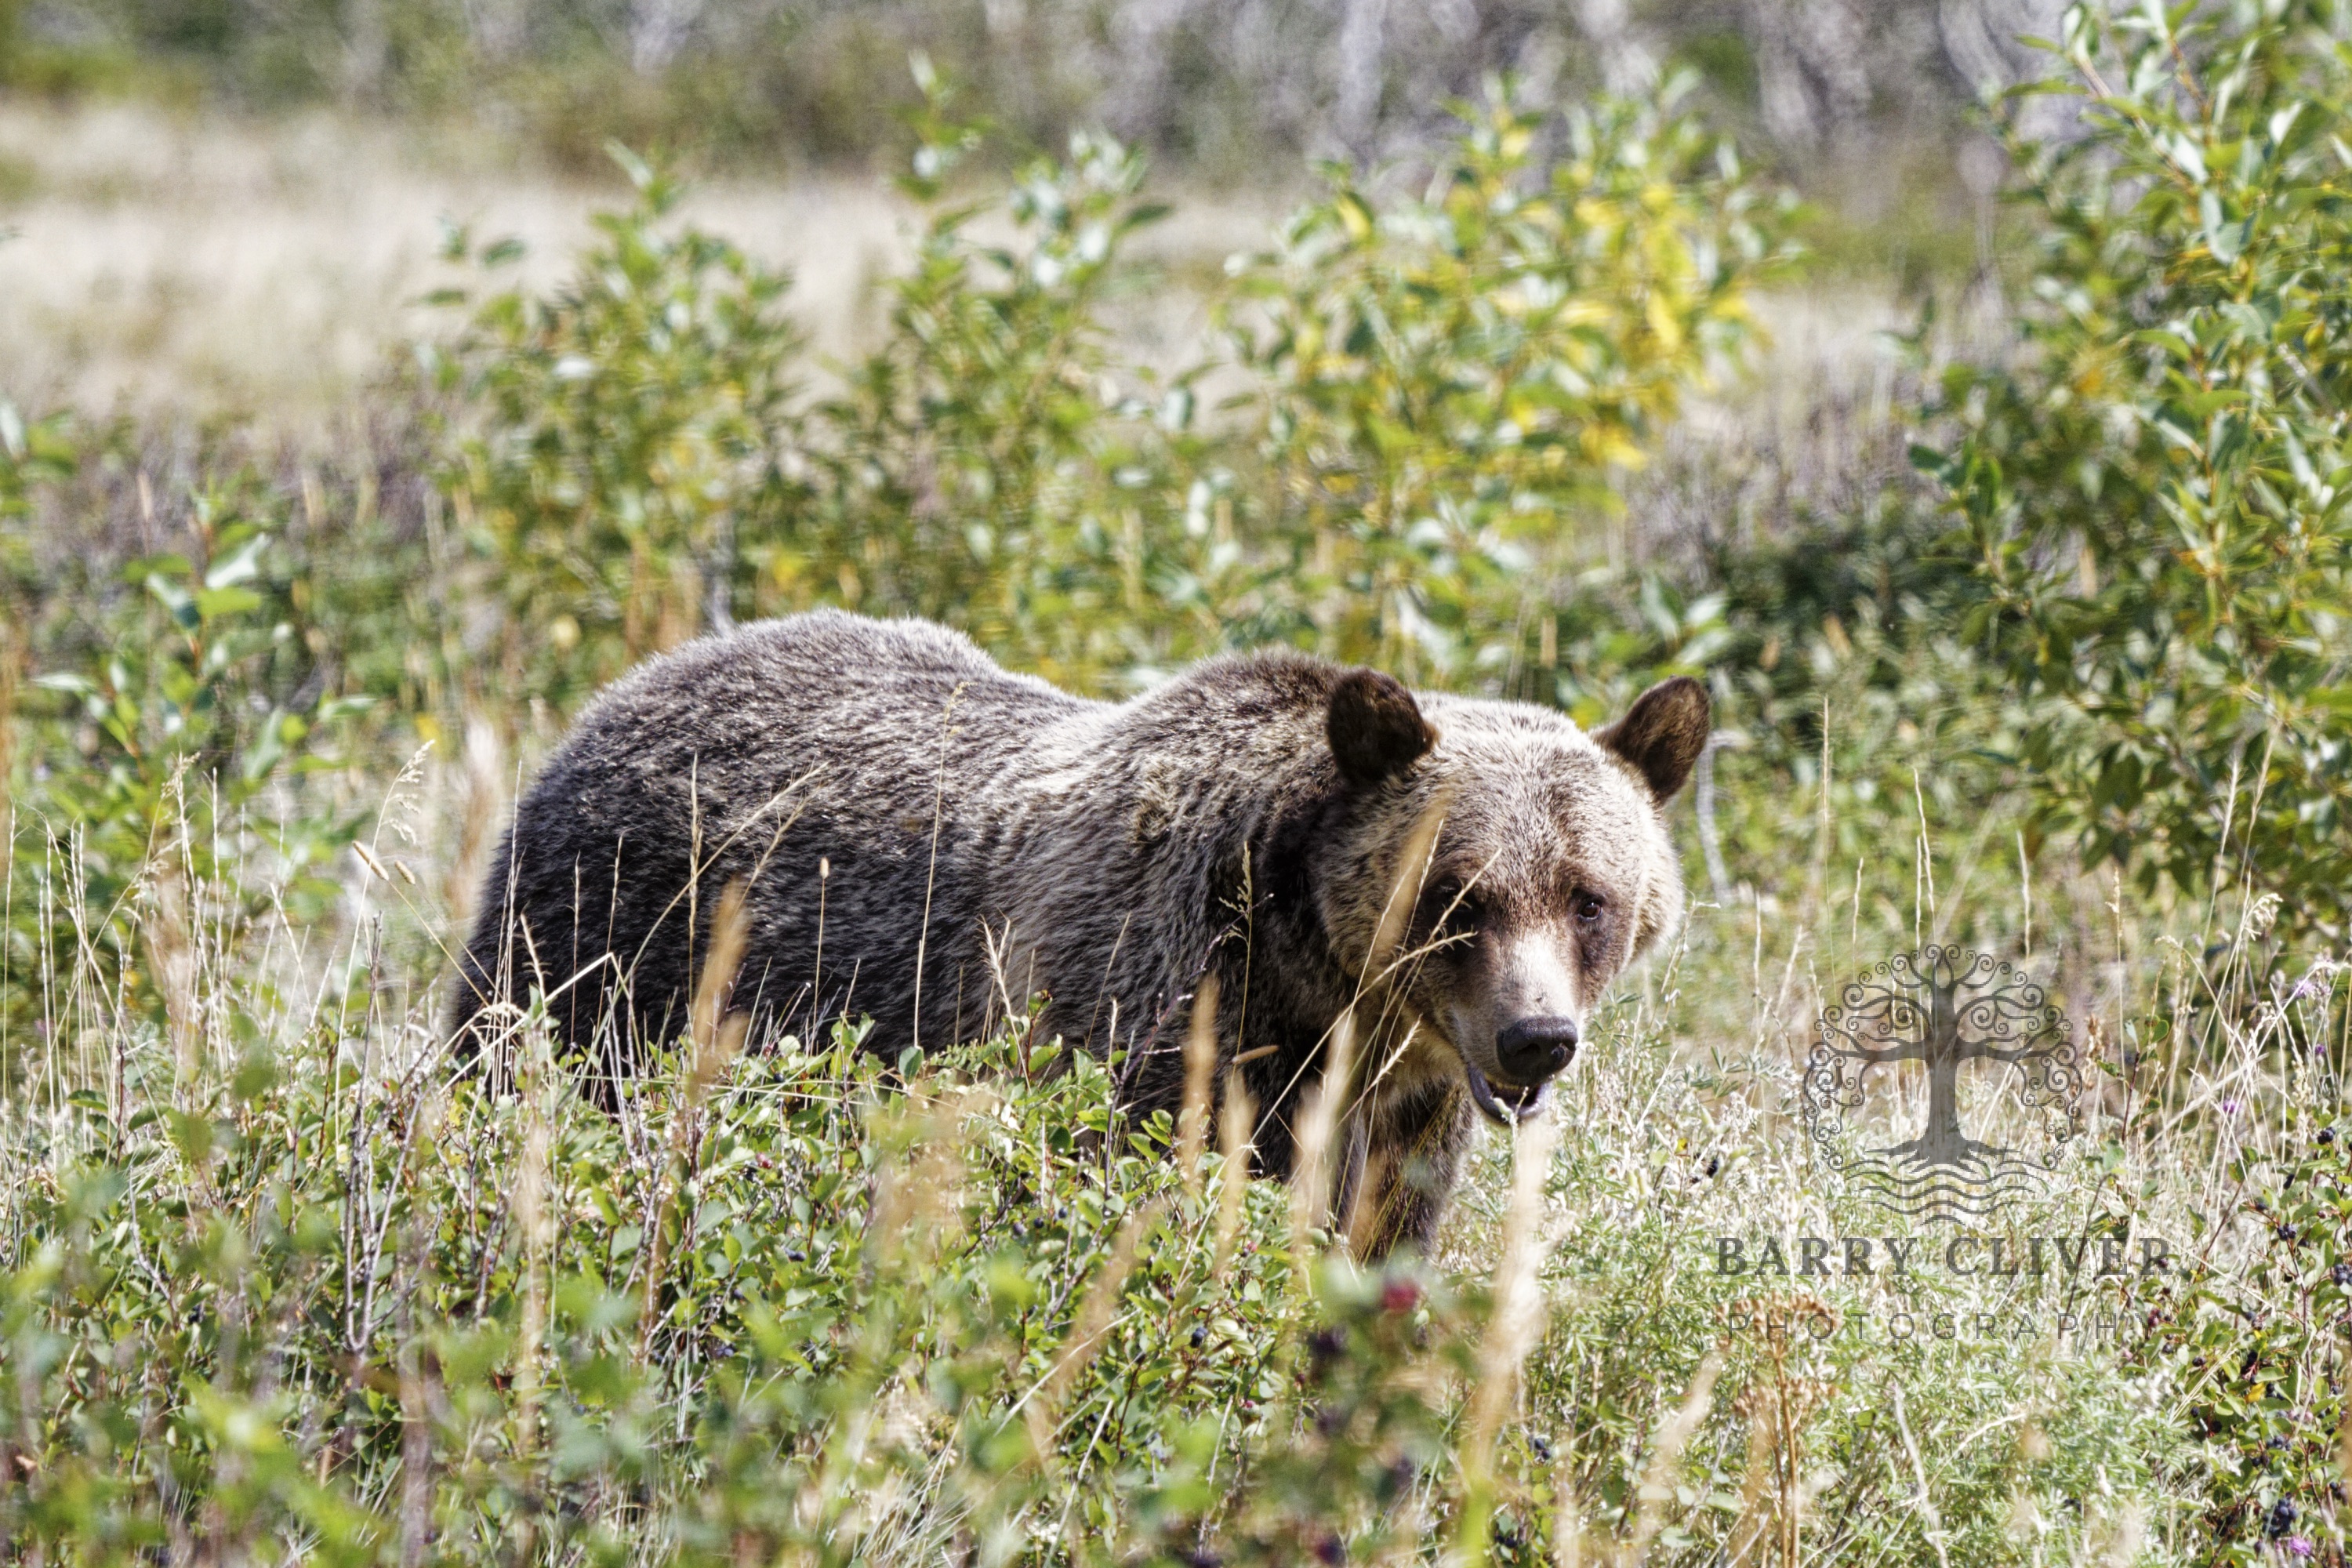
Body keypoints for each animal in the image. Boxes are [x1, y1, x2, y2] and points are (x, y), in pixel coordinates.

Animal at [449, 609, 1707, 1256]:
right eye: (1460, 897)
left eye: (1589, 896)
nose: (1536, 1037)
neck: (1318, 979)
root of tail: (624, 689)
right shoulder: (1163, 1014)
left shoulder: (1402, 1109)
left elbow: (1380, 1244)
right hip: (600, 949)